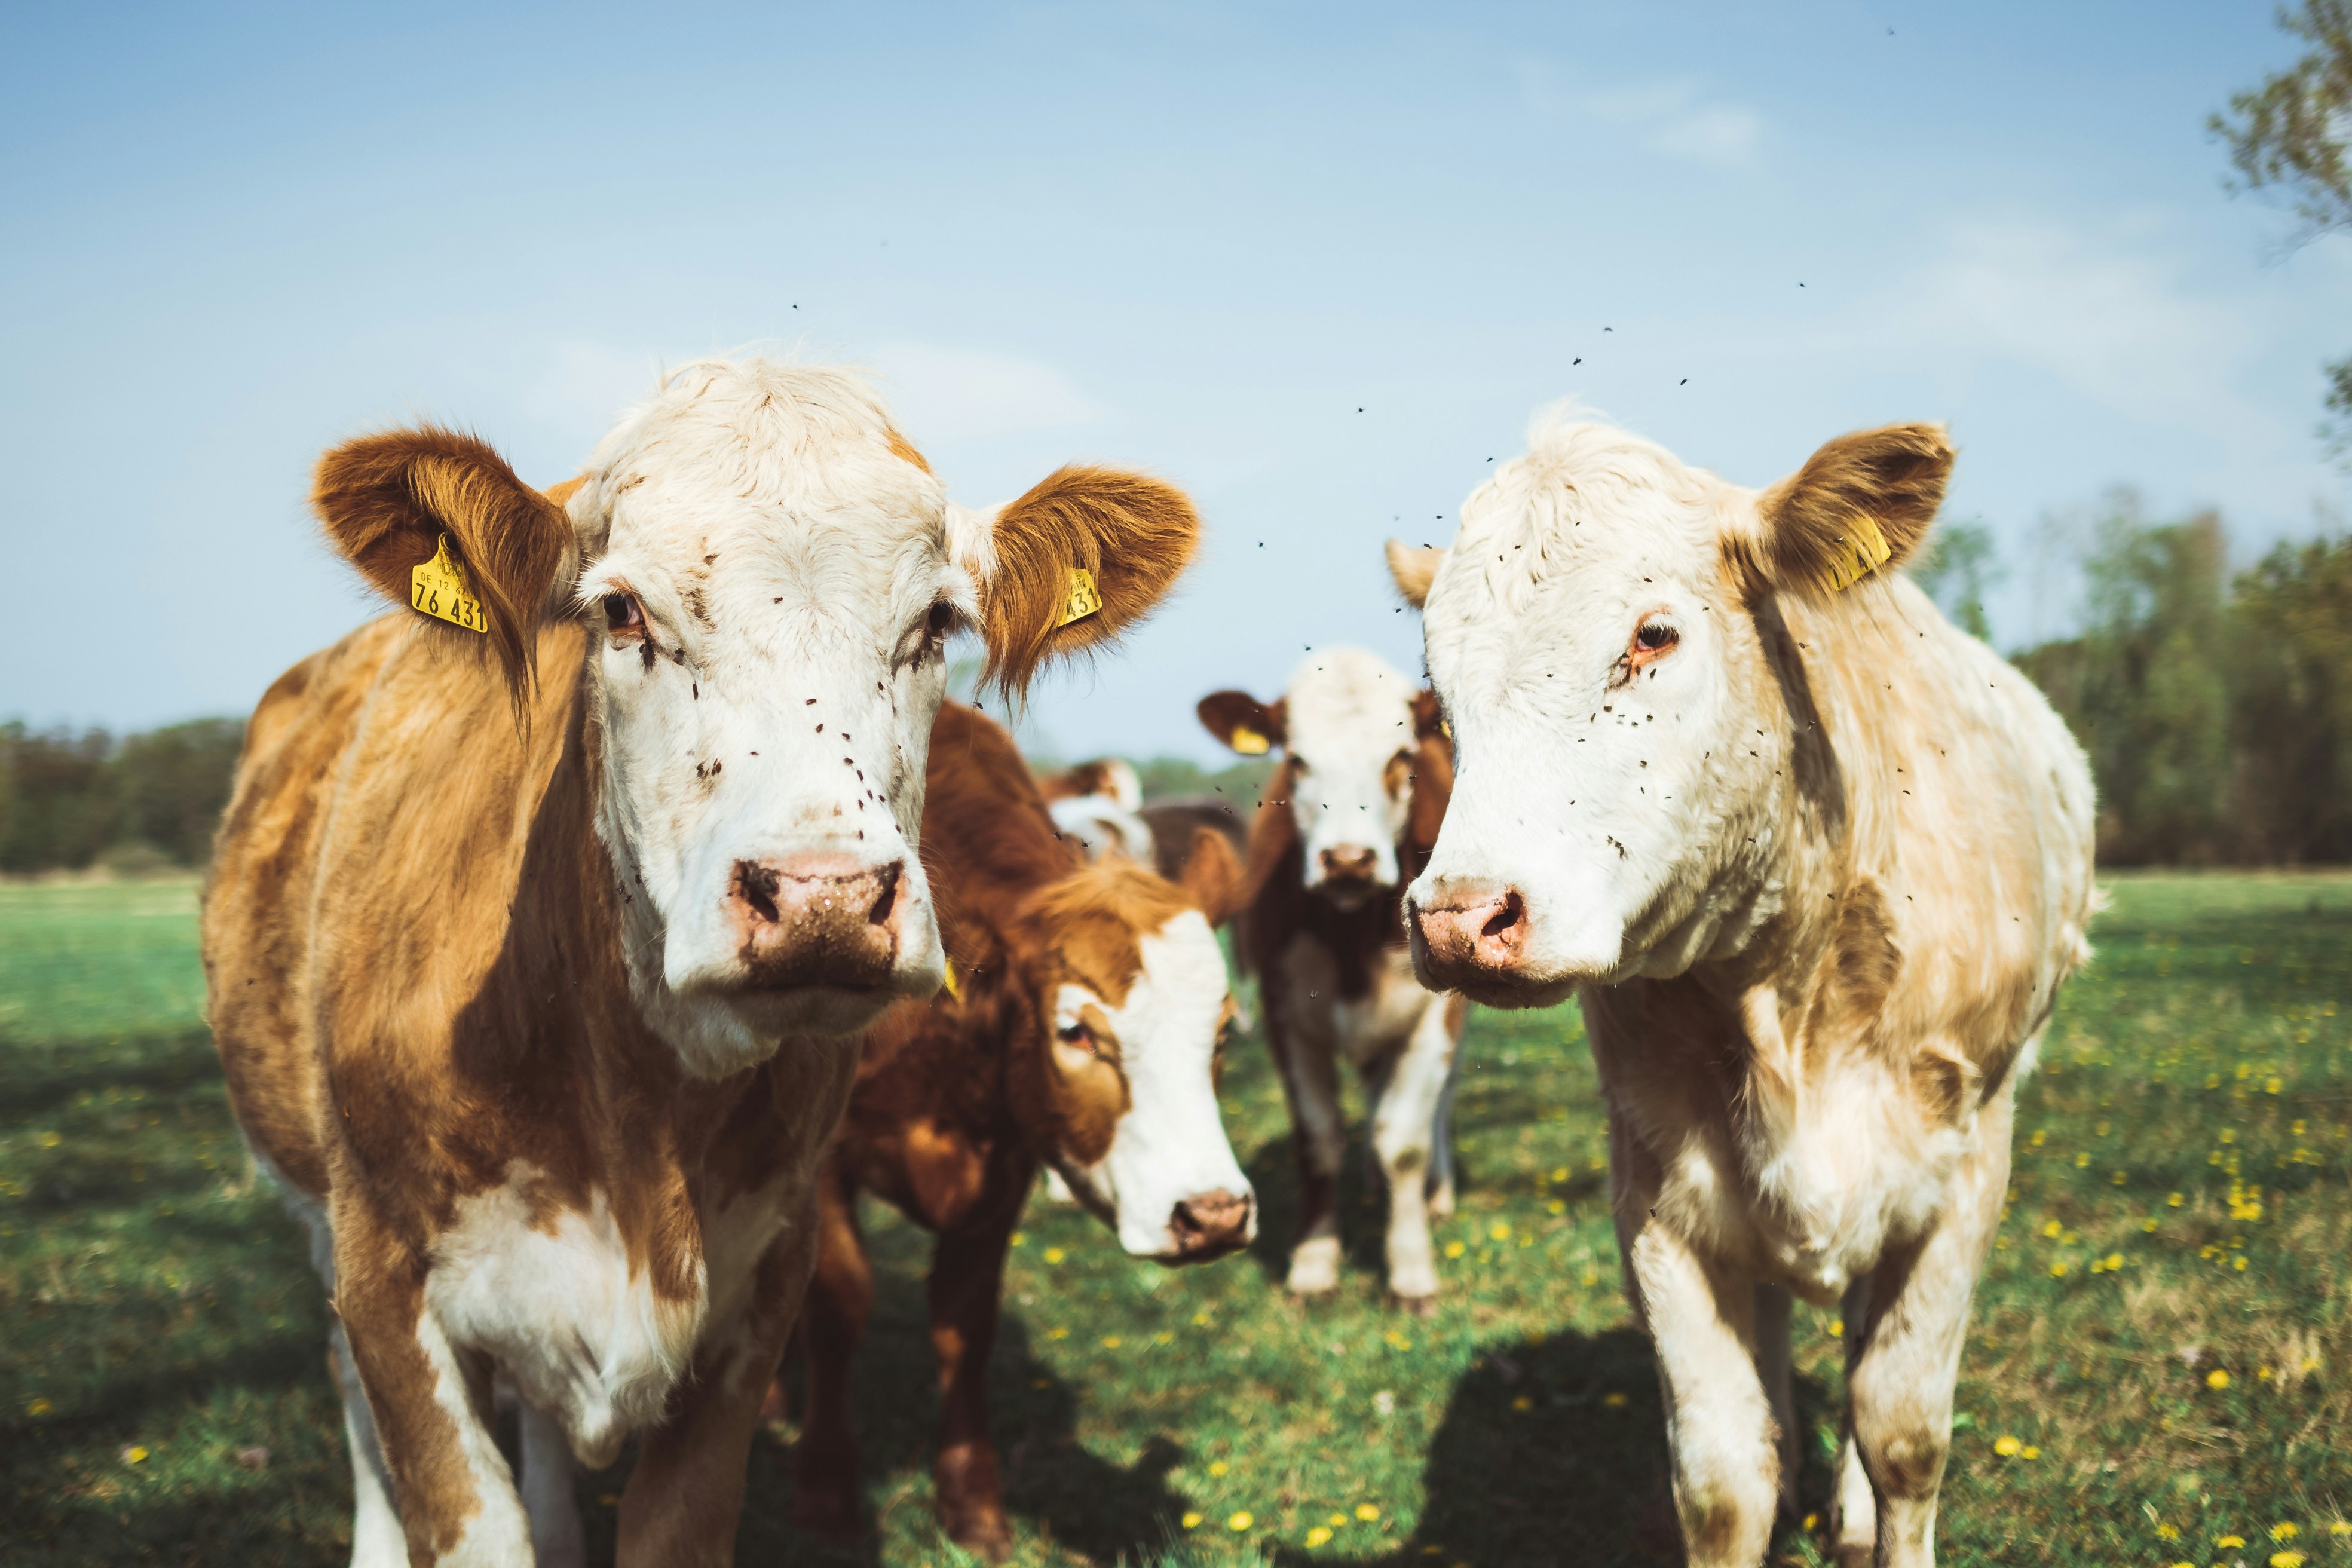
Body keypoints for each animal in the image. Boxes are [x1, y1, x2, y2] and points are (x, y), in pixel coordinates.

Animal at [200, 358, 1201, 1568]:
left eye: (937, 622)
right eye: (621, 610)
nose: (824, 898)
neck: (629, 1125)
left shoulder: (759, 1291)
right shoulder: (386, 1286)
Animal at [785, 700, 1252, 1558]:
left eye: (1224, 1030)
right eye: (1076, 1032)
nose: (1213, 1215)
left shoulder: (1004, 1167)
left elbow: (965, 1328)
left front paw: (973, 1505)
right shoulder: (819, 1162)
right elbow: (836, 1311)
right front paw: (826, 1492)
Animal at [1197, 646, 1464, 1309]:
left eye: (1400, 757)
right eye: (1296, 760)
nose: (1347, 860)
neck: (1354, 939)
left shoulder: (1436, 1015)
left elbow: (1406, 1142)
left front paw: (1411, 1270)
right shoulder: (1285, 1014)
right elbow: (1317, 1139)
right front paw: (1314, 1264)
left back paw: (1437, 1191)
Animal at [1391, 411, 2095, 1567]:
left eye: (1653, 636)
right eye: (1438, 686)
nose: (1458, 918)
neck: (1784, 984)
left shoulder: (1965, 1168)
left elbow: (1904, 1433)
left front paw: (1874, 1506)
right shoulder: (1657, 1187)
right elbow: (1722, 1477)